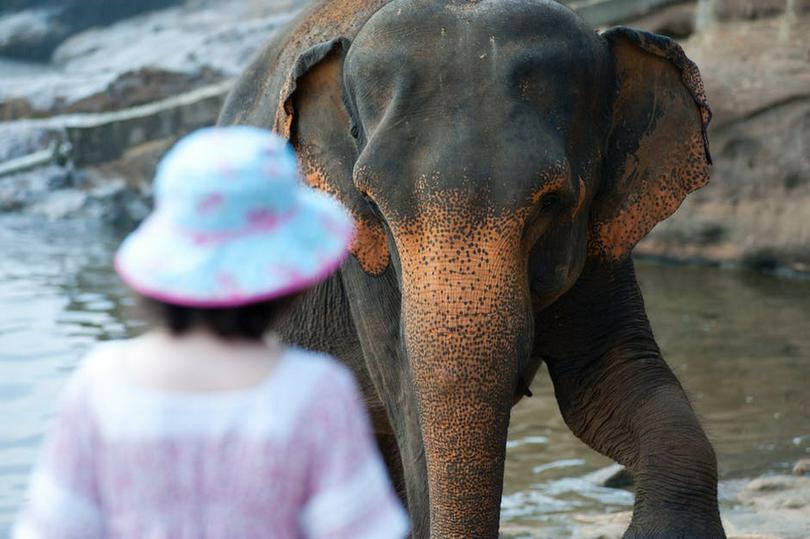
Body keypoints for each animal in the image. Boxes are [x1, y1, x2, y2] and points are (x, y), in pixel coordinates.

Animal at [218, 0, 723, 537]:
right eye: (373, 205)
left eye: (551, 202)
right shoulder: (364, 271)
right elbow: (412, 422)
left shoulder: (603, 240)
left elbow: (608, 377)